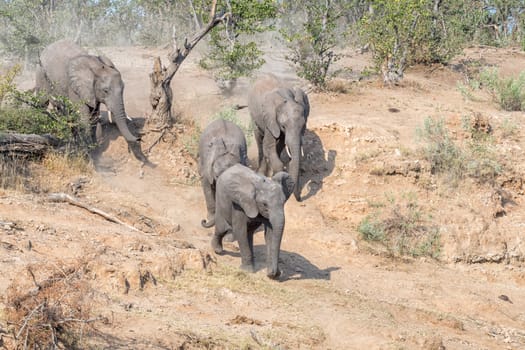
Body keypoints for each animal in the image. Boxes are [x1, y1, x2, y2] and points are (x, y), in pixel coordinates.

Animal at [248, 73, 310, 202]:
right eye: (283, 126)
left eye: (303, 125)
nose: (300, 199)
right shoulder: (270, 119)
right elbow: (268, 145)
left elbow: (281, 143)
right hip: (253, 113)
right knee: (259, 139)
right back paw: (261, 173)